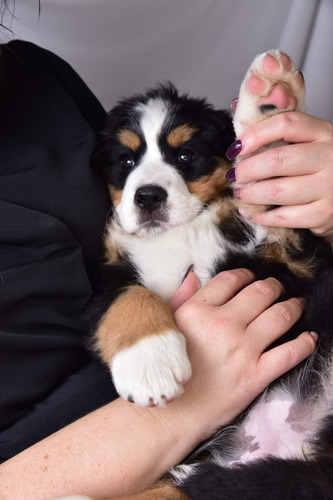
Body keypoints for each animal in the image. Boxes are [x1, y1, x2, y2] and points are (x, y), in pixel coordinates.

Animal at [87, 51, 332, 500]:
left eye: (185, 156)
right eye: (126, 162)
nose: (148, 197)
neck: (178, 233)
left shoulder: (292, 258)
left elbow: (264, 195)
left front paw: (270, 97)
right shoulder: (110, 273)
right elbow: (129, 296)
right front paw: (150, 365)